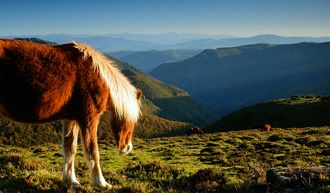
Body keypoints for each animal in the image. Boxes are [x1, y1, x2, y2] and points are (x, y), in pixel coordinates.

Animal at [0, 38, 141, 188]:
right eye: (132, 121)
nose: (127, 148)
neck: (98, 76)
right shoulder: (88, 118)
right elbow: (93, 151)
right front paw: (101, 182)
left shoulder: (71, 119)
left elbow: (70, 150)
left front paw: (71, 181)